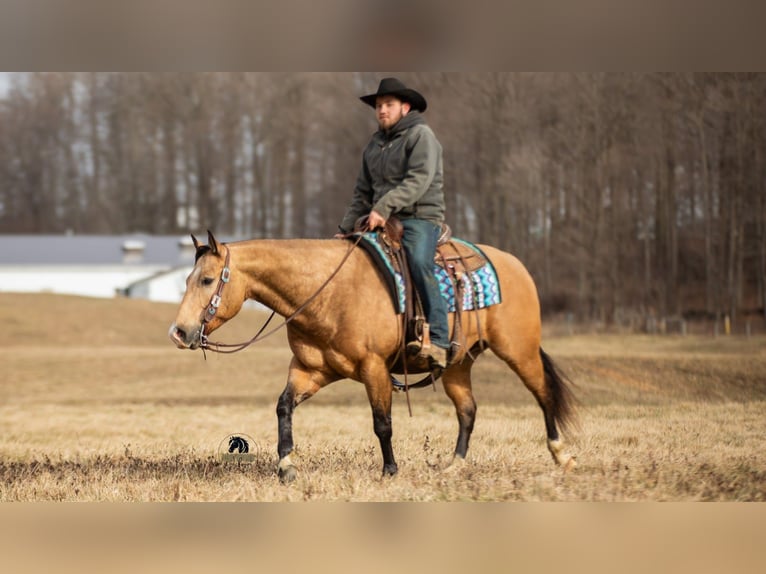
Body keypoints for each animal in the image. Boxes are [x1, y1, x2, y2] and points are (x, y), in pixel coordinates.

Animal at [169, 230, 577, 482]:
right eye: (187, 279)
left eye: (206, 280)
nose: (179, 332)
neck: (329, 292)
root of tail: (514, 265)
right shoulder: (311, 370)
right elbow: (284, 406)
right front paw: (286, 465)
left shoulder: (374, 368)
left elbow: (382, 423)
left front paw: (390, 470)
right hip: (458, 364)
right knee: (467, 410)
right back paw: (454, 466)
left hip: (519, 350)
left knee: (542, 392)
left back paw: (562, 454)